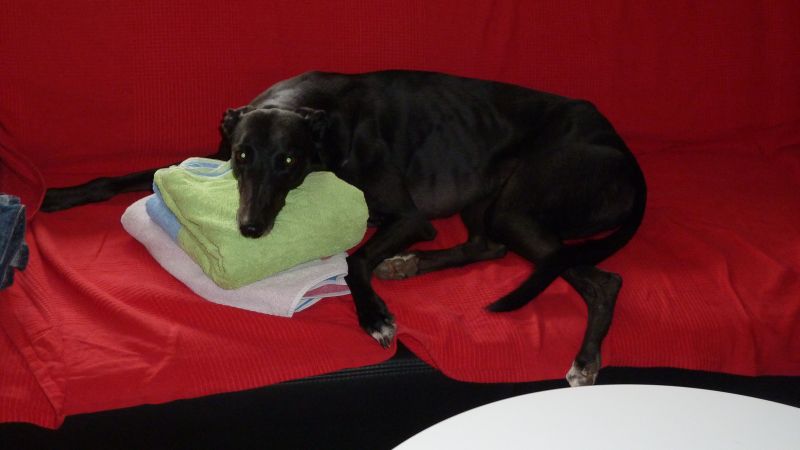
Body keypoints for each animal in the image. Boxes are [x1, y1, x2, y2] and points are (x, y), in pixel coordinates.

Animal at [43, 70, 646, 386]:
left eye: (288, 162)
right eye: (242, 156)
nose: (251, 229)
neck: (315, 113)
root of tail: (628, 157)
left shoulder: (409, 216)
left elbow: (355, 257)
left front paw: (373, 316)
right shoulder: (214, 152)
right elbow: (130, 176)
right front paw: (63, 193)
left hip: (522, 199)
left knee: (599, 278)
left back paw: (585, 359)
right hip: (490, 201)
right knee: (489, 247)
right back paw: (407, 266)